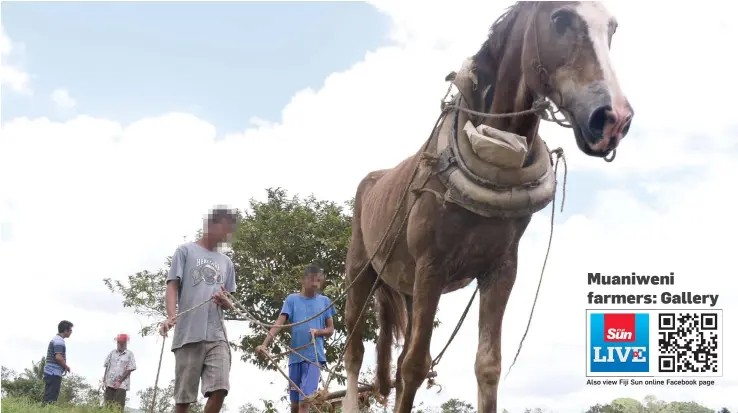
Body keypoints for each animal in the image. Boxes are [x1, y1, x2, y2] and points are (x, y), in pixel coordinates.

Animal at [342, 3, 628, 412]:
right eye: (560, 18)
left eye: (613, 29)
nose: (614, 119)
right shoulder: (432, 266)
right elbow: (415, 365)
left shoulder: (501, 270)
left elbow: (487, 365)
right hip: (360, 272)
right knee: (354, 353)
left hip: (408, 288)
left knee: (394, 365)